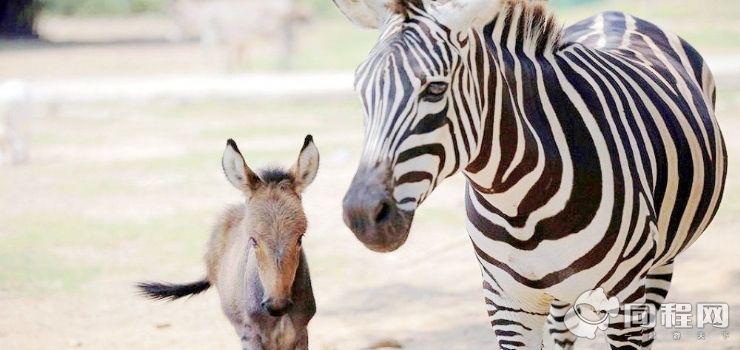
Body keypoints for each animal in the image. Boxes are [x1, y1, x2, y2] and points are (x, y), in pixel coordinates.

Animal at [336, 0, 728, 348]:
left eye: (435, 89)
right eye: (360, 90)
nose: (362, 216)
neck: (519, 204)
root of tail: (615, 13)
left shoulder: (626, 294)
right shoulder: (507, 303)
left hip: (659, 266)